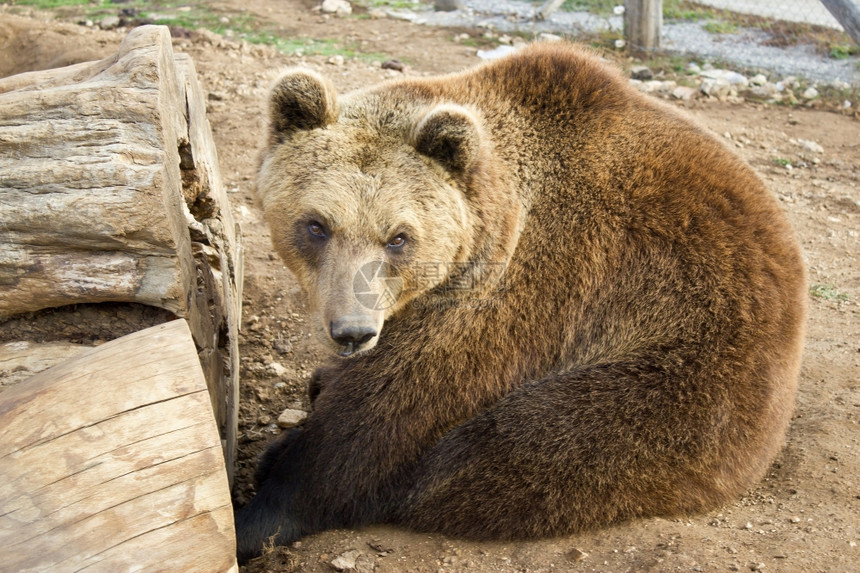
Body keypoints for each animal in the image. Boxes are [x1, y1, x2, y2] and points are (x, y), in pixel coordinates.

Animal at [233, 42, 808, 560]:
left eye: (398, 237)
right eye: (316, 225)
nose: (353, 331)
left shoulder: (522, 296)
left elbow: (382, 421)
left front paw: (262, 507)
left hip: (685, 379)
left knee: (501, 452)